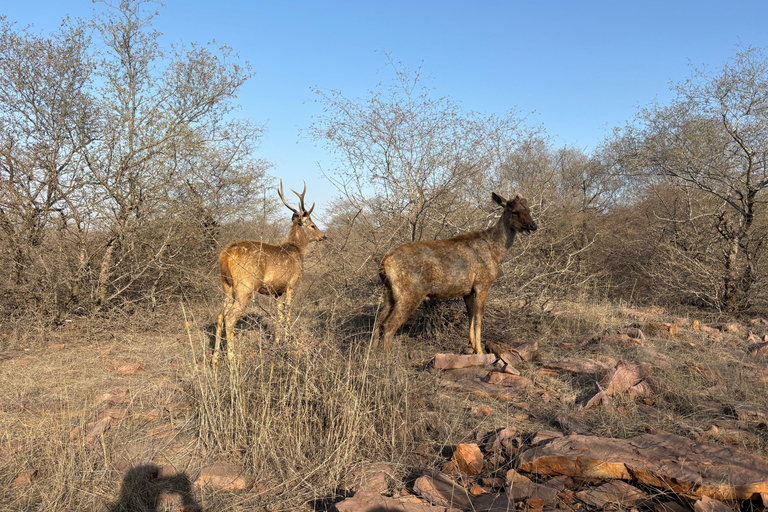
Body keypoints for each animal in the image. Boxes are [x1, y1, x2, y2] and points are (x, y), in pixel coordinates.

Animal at [213, 180, 328, 364]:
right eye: (313, 225)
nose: (323, 236)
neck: (297, 249)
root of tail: (225, 255)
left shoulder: (276, 291)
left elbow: (278, 313)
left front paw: (278, 341)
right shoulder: (291, 284)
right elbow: (288, 311)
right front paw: (288, 338)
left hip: (226, 285)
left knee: (219, 317)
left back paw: (215, 360)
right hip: (245, 286)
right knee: (230, 318)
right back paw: (232, 360)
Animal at [376, 190, 536, 354]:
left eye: (529, 209)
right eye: (514, 211)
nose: (533, 225)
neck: (496, 252)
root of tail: (385, 262)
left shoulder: (468, 290)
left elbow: (470, 314)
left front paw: (471, 344)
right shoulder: (482, 284)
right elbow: (478, 317)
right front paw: (480, 350)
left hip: (388, 293)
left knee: (378, 322)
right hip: (410, 294)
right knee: (388, 326)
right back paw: (387, 358)